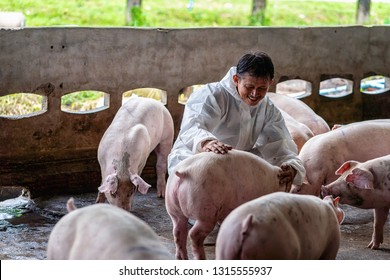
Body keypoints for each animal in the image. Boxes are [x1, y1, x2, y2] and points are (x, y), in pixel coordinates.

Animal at [215, 192, 346, 260]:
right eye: (337, 203)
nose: (343, 211)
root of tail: (247, 223)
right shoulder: (331, 246)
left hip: (225, 247)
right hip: (278, 249)